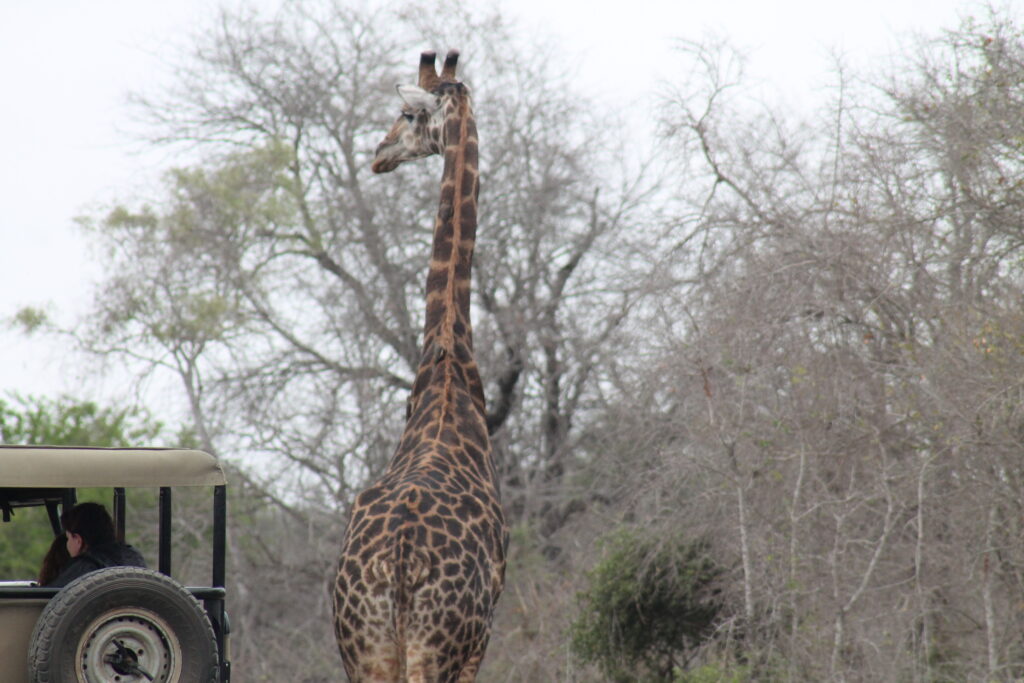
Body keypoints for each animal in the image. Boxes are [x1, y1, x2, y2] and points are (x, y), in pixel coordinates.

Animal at [333, 49, 509, 683]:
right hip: (437, 648)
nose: (379, 153)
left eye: (408, 115)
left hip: (368, 648)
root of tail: (400, 559)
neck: (447, 360)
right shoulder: (481, 640)